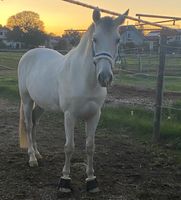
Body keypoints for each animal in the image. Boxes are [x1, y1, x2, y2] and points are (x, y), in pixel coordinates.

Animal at [18, 8, 129, 193]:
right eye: (95, 39)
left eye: (117, 40)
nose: (105, 78)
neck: (85, 79)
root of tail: (29, 53)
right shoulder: (69, 116)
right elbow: (69, 147)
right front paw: (65, 180)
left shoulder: (94, 115)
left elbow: (90, 147)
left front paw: (91, 180)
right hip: (27, 99)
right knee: (28, 124)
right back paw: (32, 158)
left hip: (41, 104)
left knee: (34, 123)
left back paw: (38, 154)